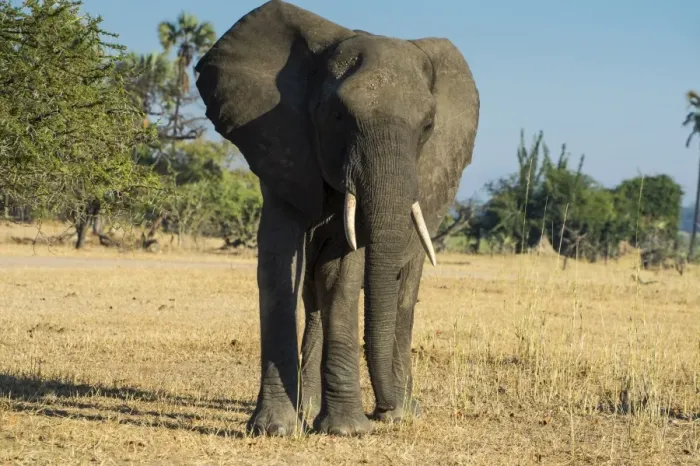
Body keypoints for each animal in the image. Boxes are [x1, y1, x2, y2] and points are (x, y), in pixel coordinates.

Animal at [194, 0, 480, 436]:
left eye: (428, 125)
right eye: (337, 116)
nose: (383, 408)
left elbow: (343, 273)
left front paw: (347, 430)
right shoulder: (284, 150)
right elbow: (279, 265)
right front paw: (275, 428)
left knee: (403, 291)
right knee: (312, 295)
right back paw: (314, 409)